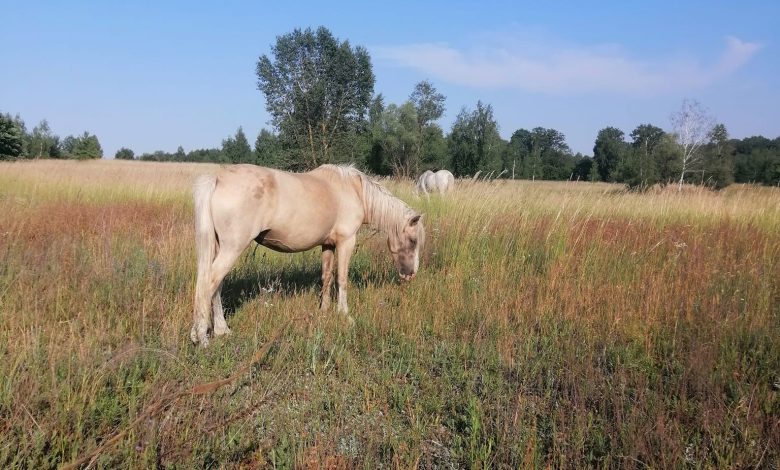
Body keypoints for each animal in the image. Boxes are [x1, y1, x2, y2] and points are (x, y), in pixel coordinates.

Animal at [190, 164, 426, 346]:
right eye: (413, 241)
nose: (411, 274)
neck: (353, 190)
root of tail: (218, 179)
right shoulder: (346, 242)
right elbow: (342, 279)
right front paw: (344, 315)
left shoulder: (328, 245)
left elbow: (327, 277)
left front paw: (324, 310)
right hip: (233, 248)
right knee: (209, 283)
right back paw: (201, 337)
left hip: (220, 247)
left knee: (215, 286)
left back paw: (222, 330)